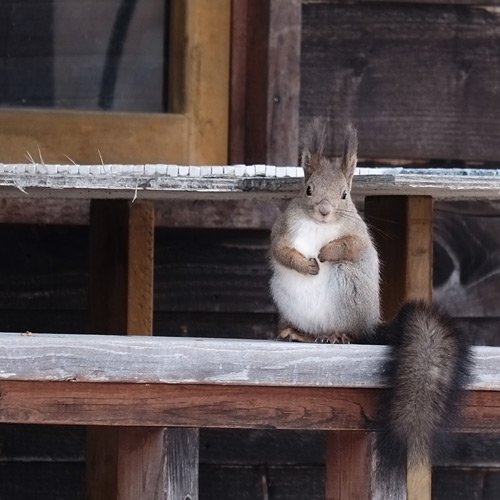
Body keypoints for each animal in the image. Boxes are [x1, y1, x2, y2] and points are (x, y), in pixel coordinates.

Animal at [268, 120, 470, 488]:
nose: (324, 212)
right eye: (308, 189)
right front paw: (306, 264)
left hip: (347, 288)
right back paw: (297, 332)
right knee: (308, 330)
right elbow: (281, 251)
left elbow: (350, 246)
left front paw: (324, 254)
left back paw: (338, 336)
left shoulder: (358, 237)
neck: (319, 226)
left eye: (345, 195)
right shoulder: (282, 231)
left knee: (351, 331)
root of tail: (371, 324)